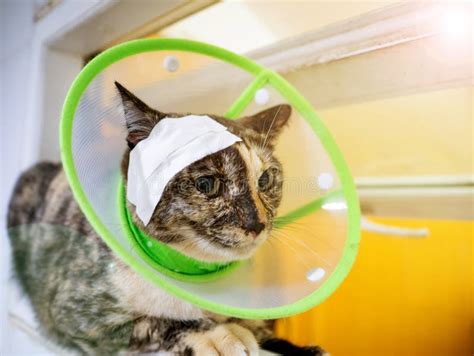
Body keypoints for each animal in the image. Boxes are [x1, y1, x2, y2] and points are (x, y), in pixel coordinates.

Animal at [7, 82, 326, 354]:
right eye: (206, 184)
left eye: (265, 180)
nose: (256, 223)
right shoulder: (77, 313)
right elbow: (152, 321)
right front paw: (218, 335)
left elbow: (260, 330)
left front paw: (303, 349)